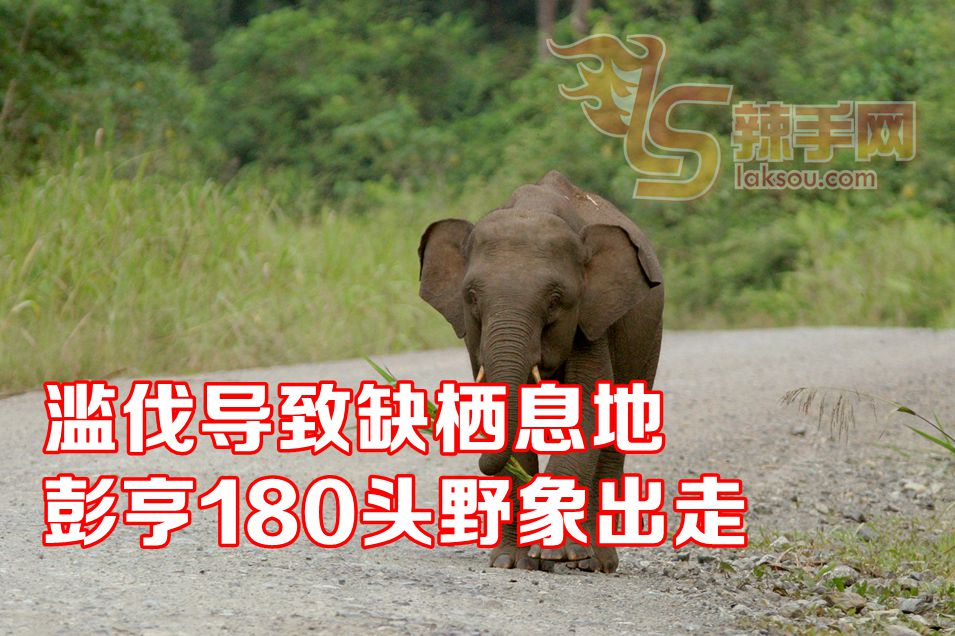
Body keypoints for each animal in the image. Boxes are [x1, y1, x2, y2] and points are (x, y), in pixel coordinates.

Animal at [417, 171, 664, 572]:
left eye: (555, 300)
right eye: (471, 296)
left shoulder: (591, 320)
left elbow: (589, 410)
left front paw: (554, 554)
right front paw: (511, 561)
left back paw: (594, 562)